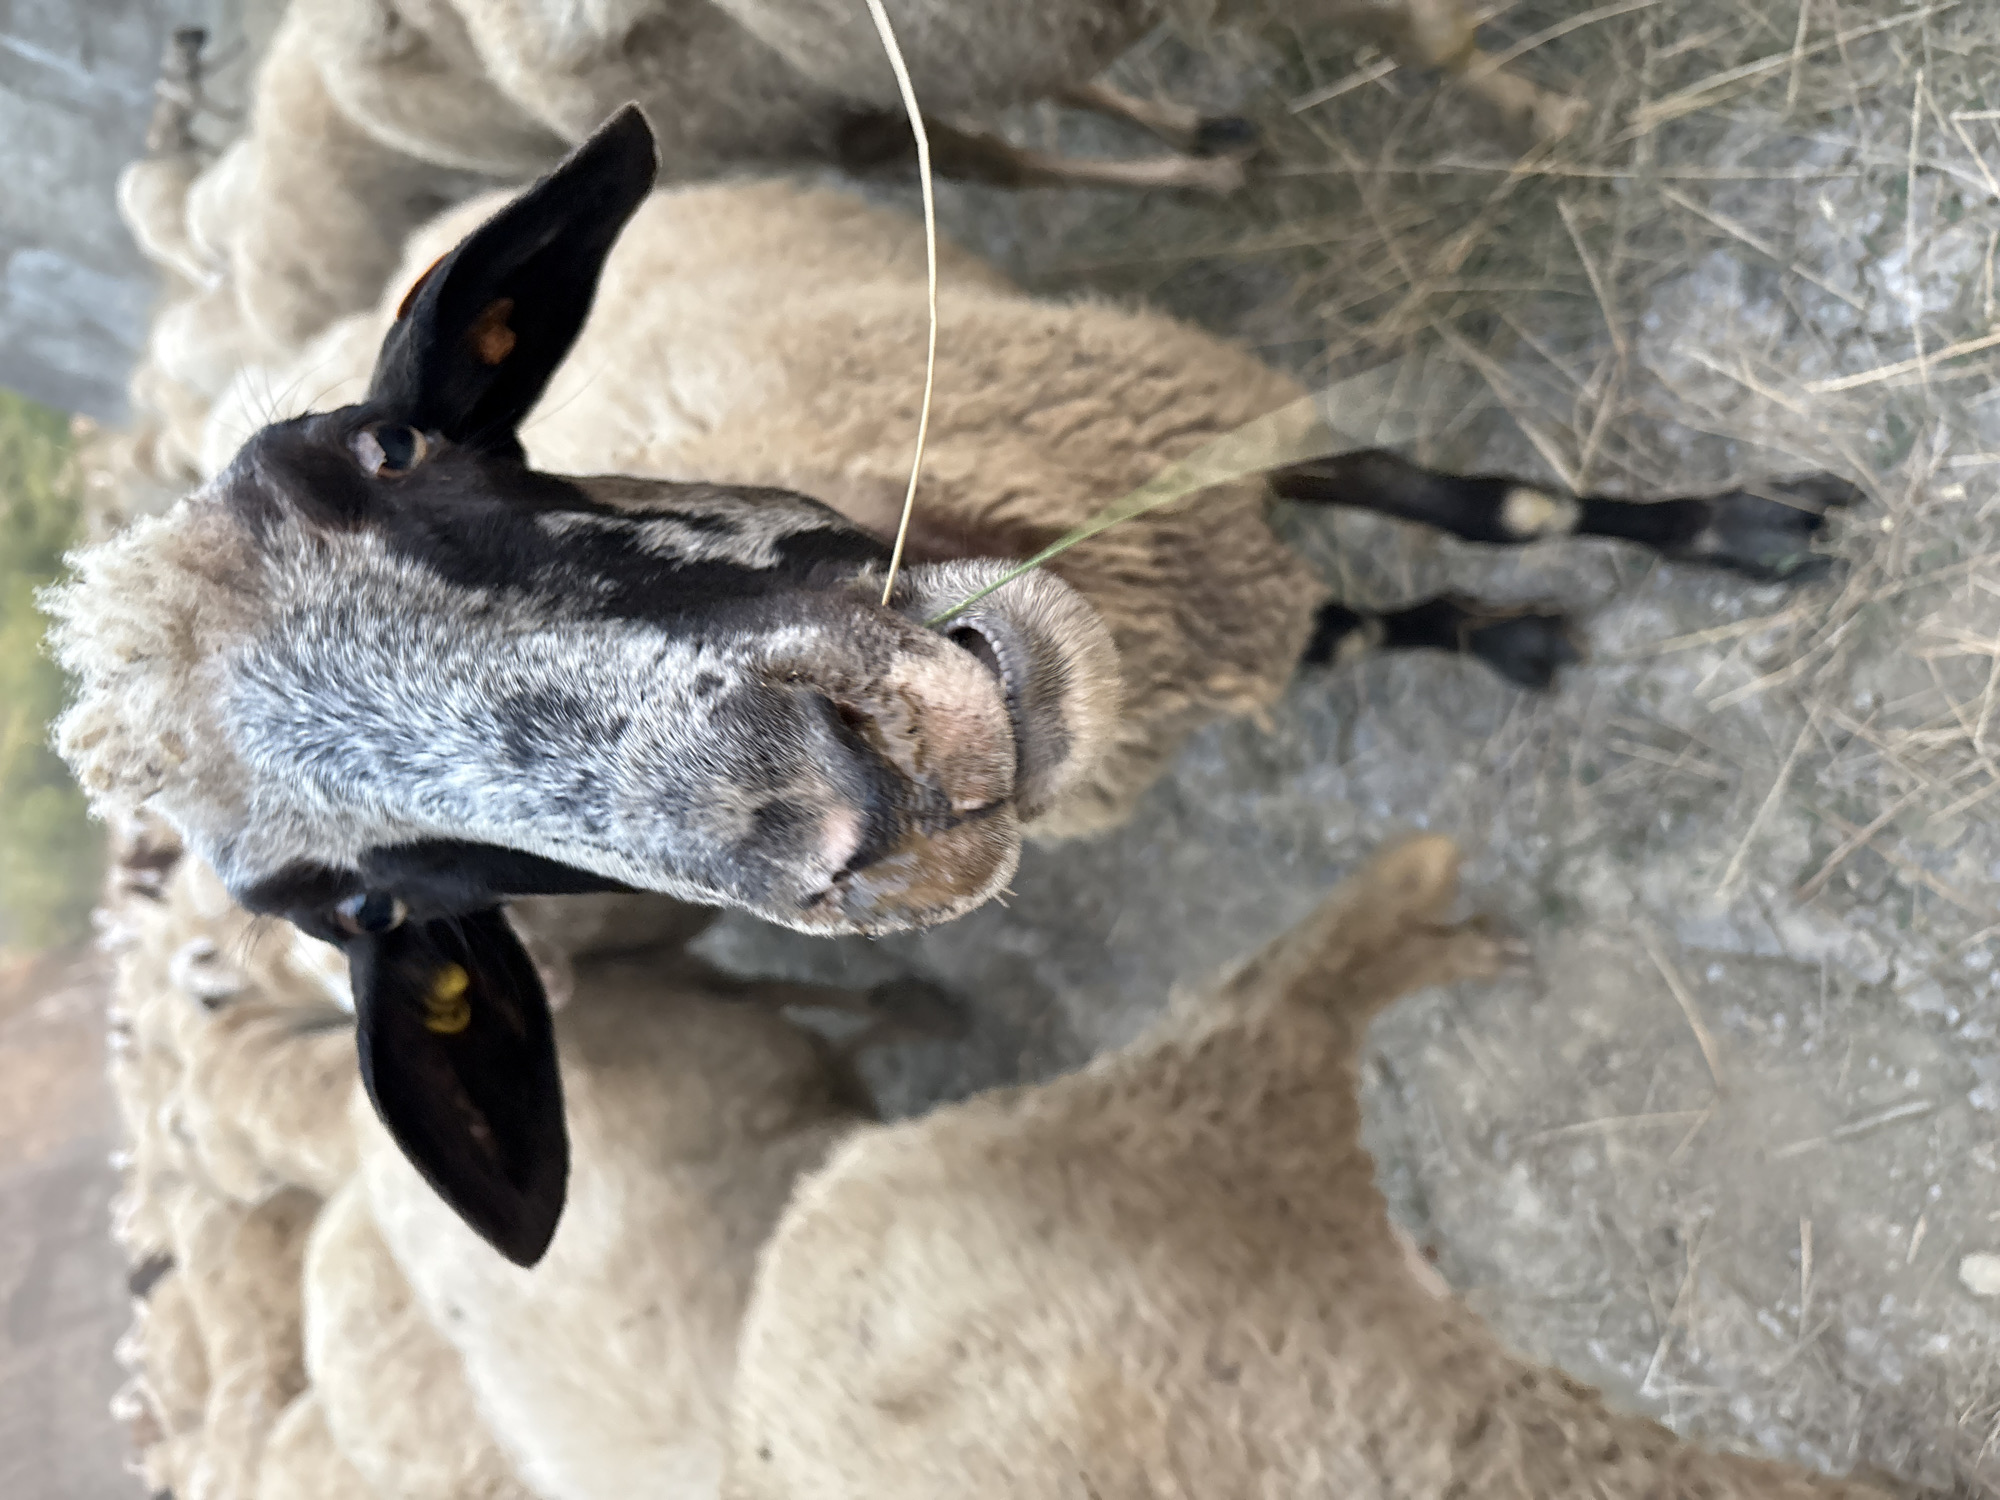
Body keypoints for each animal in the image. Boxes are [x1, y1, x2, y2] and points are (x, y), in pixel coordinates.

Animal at [50, 109, 1856, 1260]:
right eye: (378, 912)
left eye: (391, 451)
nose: (848, 796)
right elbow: (1355, 623)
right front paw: (1504, 638)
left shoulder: (1215, 423)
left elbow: (1495, 504)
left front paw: (1738, 534)